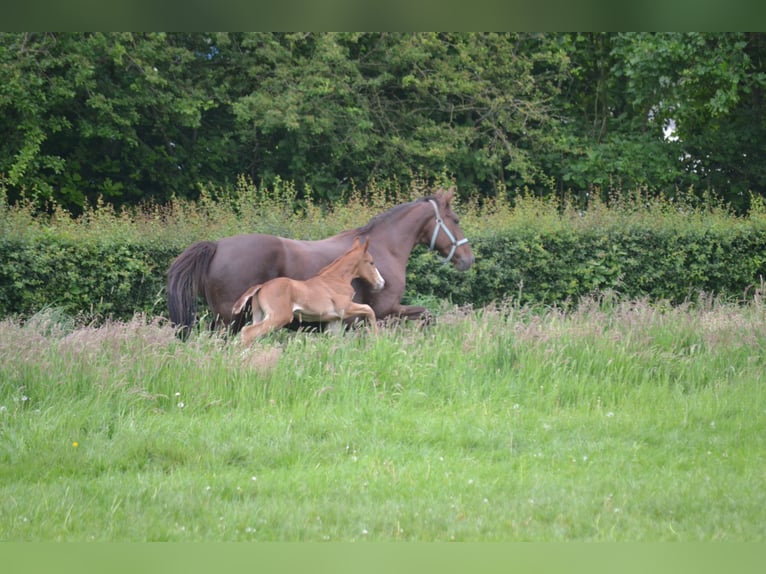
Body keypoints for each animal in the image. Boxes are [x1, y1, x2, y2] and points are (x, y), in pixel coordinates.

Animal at [168, 187, 474, 336]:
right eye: (456, 220)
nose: (468, 259)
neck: (384, 246)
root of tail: (217, 246)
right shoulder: (386, 311)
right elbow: (427, 316)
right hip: (229, 320)